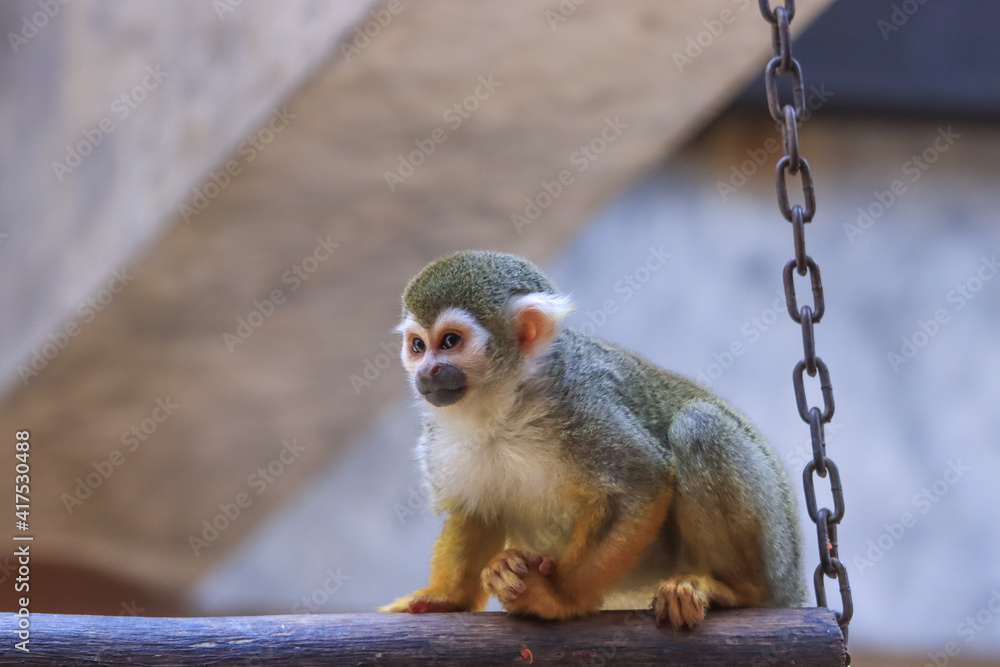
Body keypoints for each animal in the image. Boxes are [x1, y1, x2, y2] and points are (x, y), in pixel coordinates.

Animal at [379, 250, 805, 628]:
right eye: (418, 346)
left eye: (450, 342)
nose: (427, 373)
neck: (503, 408)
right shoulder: (440, 438)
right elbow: (476, 510)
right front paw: (447, 598)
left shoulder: (582, 403)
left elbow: (641, 482)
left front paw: (557, 596)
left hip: (780, 549)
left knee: (700, 426)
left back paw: (738, 589)